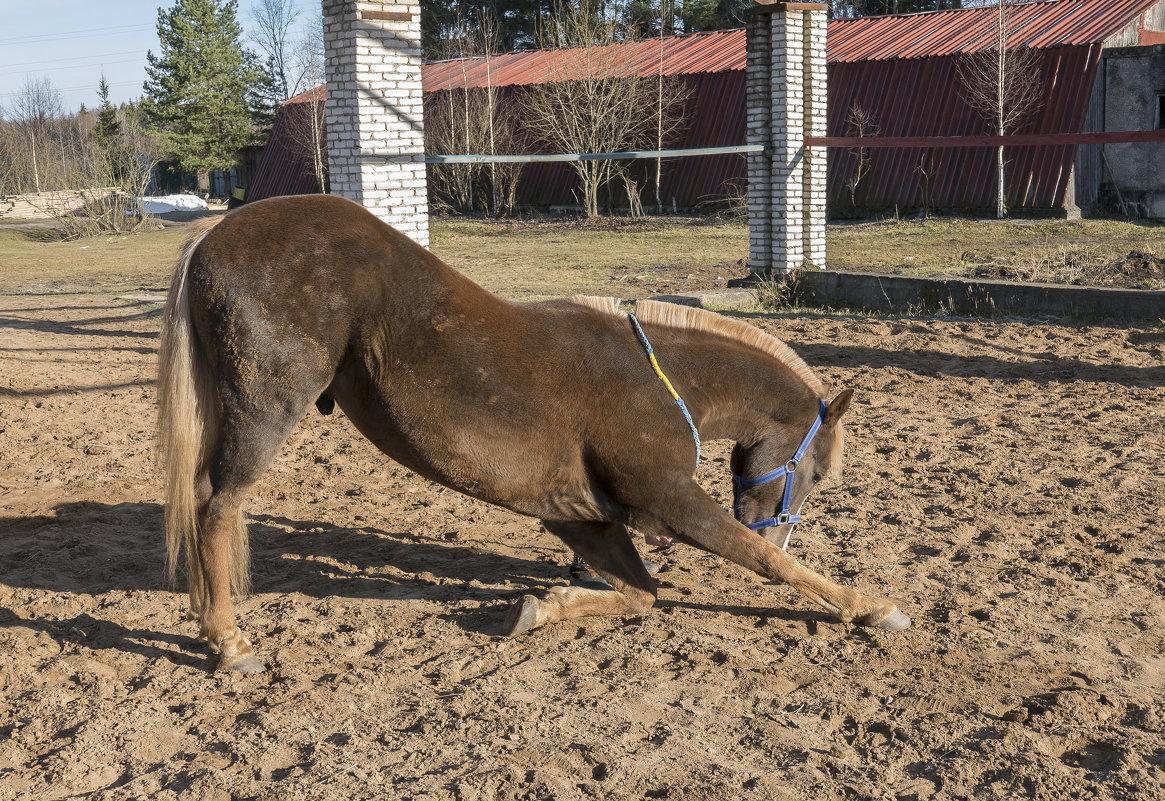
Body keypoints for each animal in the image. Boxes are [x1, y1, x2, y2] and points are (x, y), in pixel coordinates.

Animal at [159, 194, 908, 670]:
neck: (662, 381)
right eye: (819, 471)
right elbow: (761, 565)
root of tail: (214, 234)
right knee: (216, 507)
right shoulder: (668, 496)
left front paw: (542, 608)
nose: (777, 527)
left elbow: (641, 594)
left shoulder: (580, 515)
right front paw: (869, 606)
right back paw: (229, 641)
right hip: (264, 409)